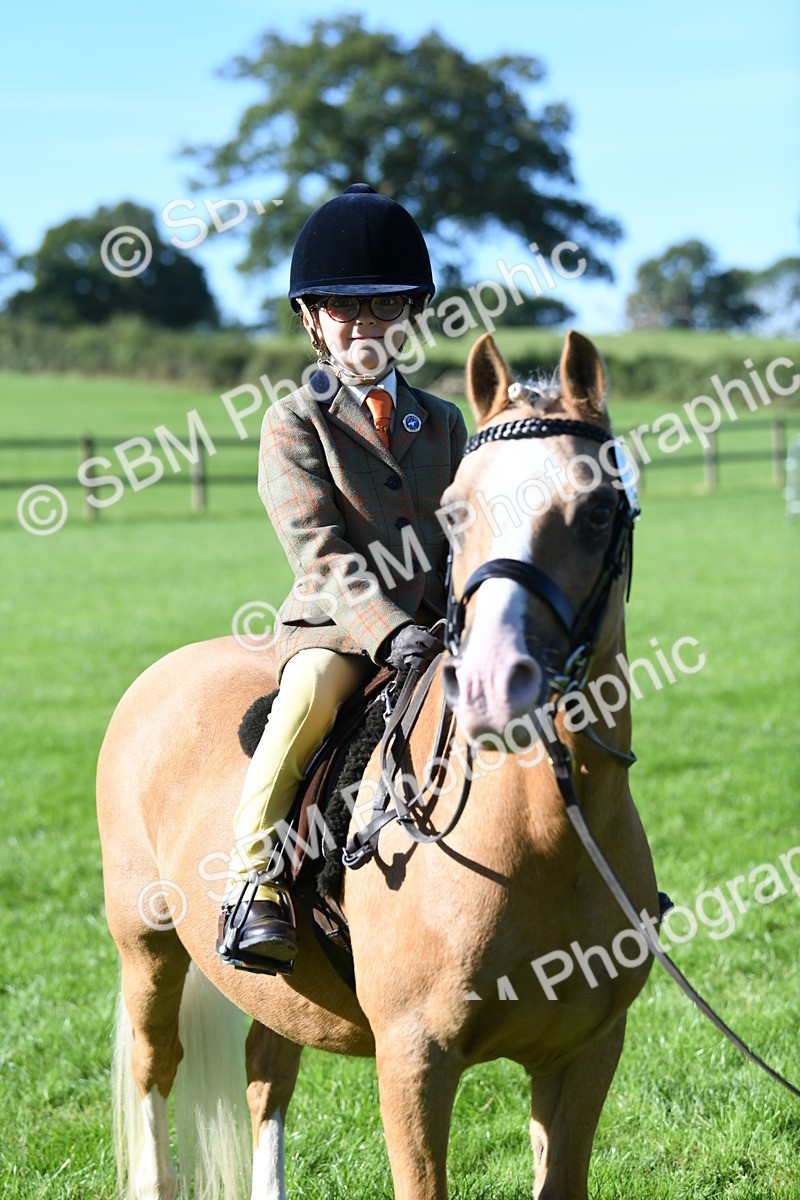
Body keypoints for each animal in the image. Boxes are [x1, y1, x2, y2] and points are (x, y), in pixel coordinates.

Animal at [98, 329, 658, 1200]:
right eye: (456, 514)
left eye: (599, 510)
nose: (492, 687)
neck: (543, 838)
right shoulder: (414, 1061)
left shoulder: (585, 1055)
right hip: (146, 946)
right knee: (157, 1070)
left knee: (267, 1073)